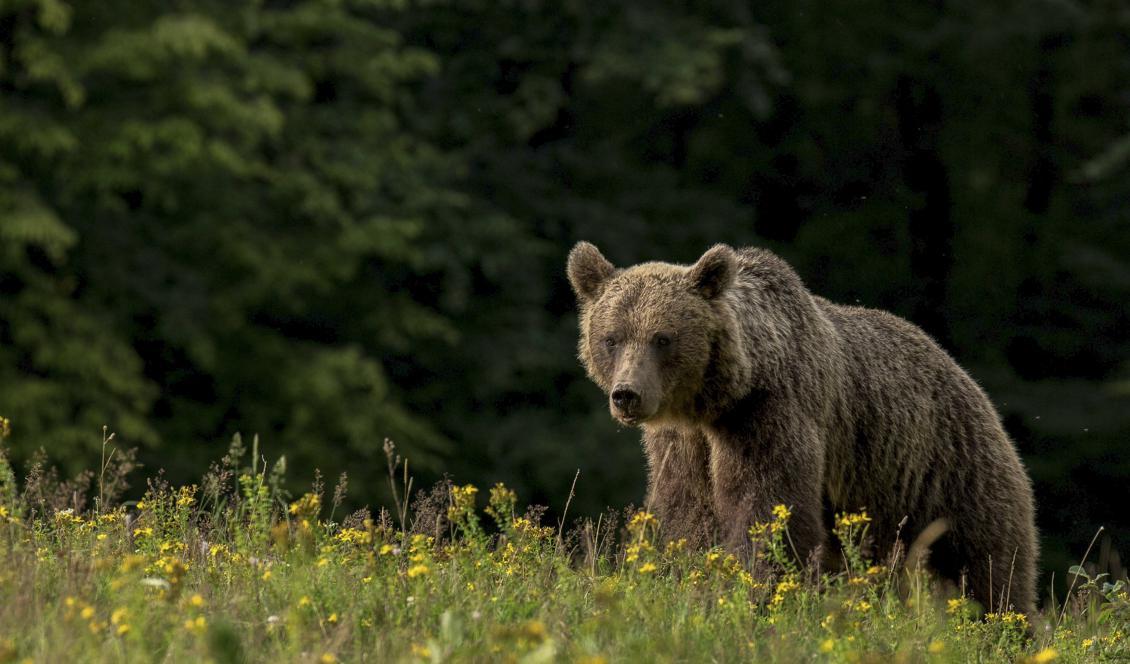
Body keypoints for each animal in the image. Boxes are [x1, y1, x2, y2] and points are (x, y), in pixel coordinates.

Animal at [569, 241, 1035, 614]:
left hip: (949, 470)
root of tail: (967, 379)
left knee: (988, 565)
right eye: (611, 338)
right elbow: (689, 514)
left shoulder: (771, 414)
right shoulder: (683, 443)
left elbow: (769, 508)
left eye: (662, 338)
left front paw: (758, 592)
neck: (719, 400)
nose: (627, 394)